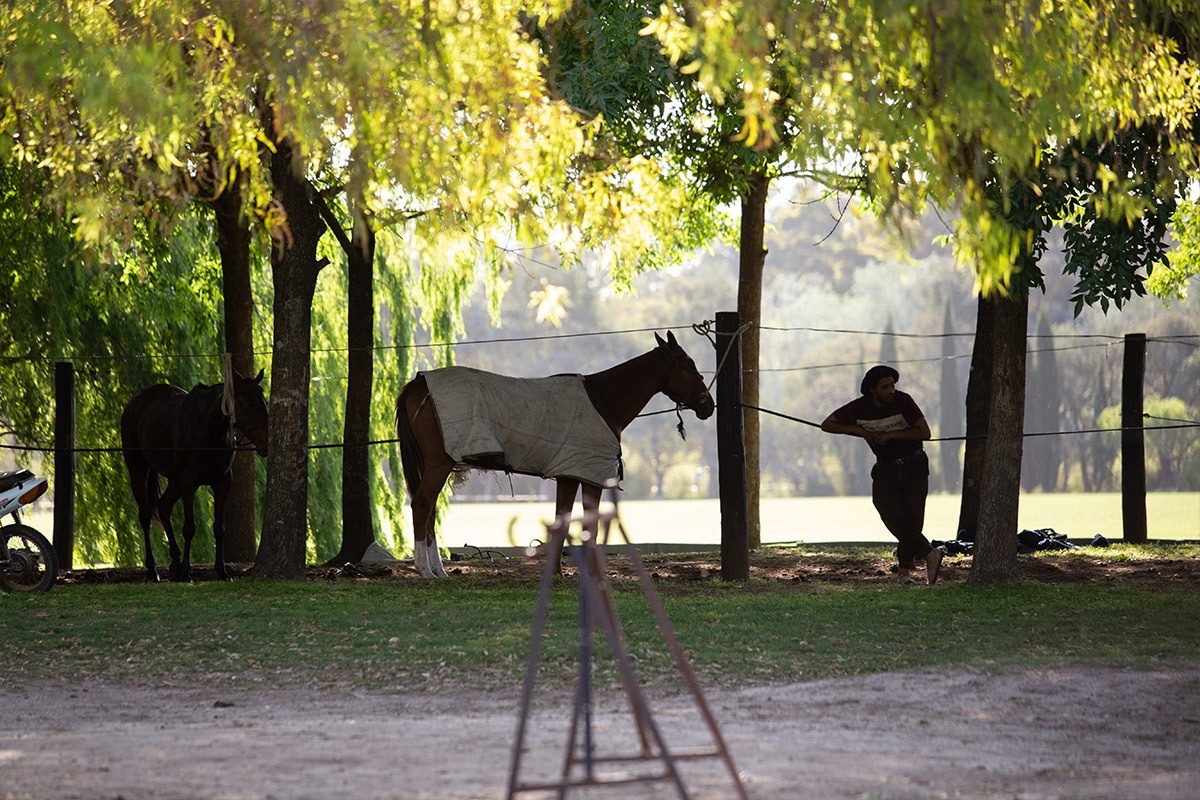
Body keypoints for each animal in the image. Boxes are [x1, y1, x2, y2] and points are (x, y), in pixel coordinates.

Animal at [120, 369, 268, 582]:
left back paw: (175, 561)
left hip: (175, 481)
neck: (207, 428)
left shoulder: (223, 481)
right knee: (146, 515)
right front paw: (186, 572)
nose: (266, 441)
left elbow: (219, 528)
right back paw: (153, 569)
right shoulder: (189, 481)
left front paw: (222, 570)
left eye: (264, 401)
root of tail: (135, 402)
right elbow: (189, 528)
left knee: (163, 507)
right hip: (139, 472)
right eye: (250, 403)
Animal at [393, 331, 710, 575]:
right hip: (438, 464)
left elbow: (561, 520)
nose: (709, 405)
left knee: (430, 509)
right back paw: (425, 569)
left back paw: (438, 569)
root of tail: (419, 383)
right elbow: (589, 527)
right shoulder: (591, 476)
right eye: (689, 365)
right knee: (422, 504)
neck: (603, 399)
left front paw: (557, 572)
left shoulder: (569, 475)